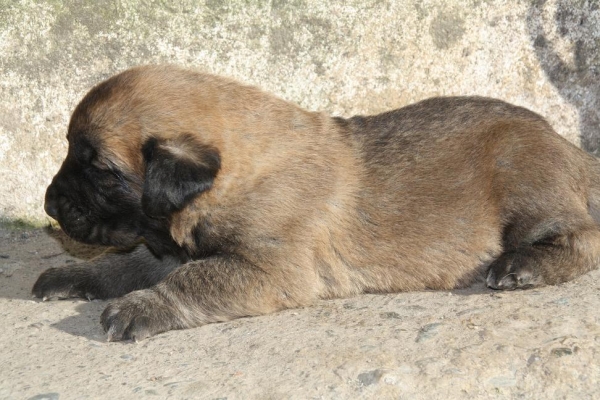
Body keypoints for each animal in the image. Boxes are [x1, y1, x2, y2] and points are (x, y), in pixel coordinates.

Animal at [34, 65, 600, 340]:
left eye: (101, 171)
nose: (49, 206)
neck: (242, 172)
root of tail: (571, 149)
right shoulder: (167, 247)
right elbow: (124, 263)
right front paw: (75, 276)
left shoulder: (267, 268)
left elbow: (192, 280)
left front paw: (141, 307)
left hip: (523, 181)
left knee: (583, 236)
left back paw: (522, 265)